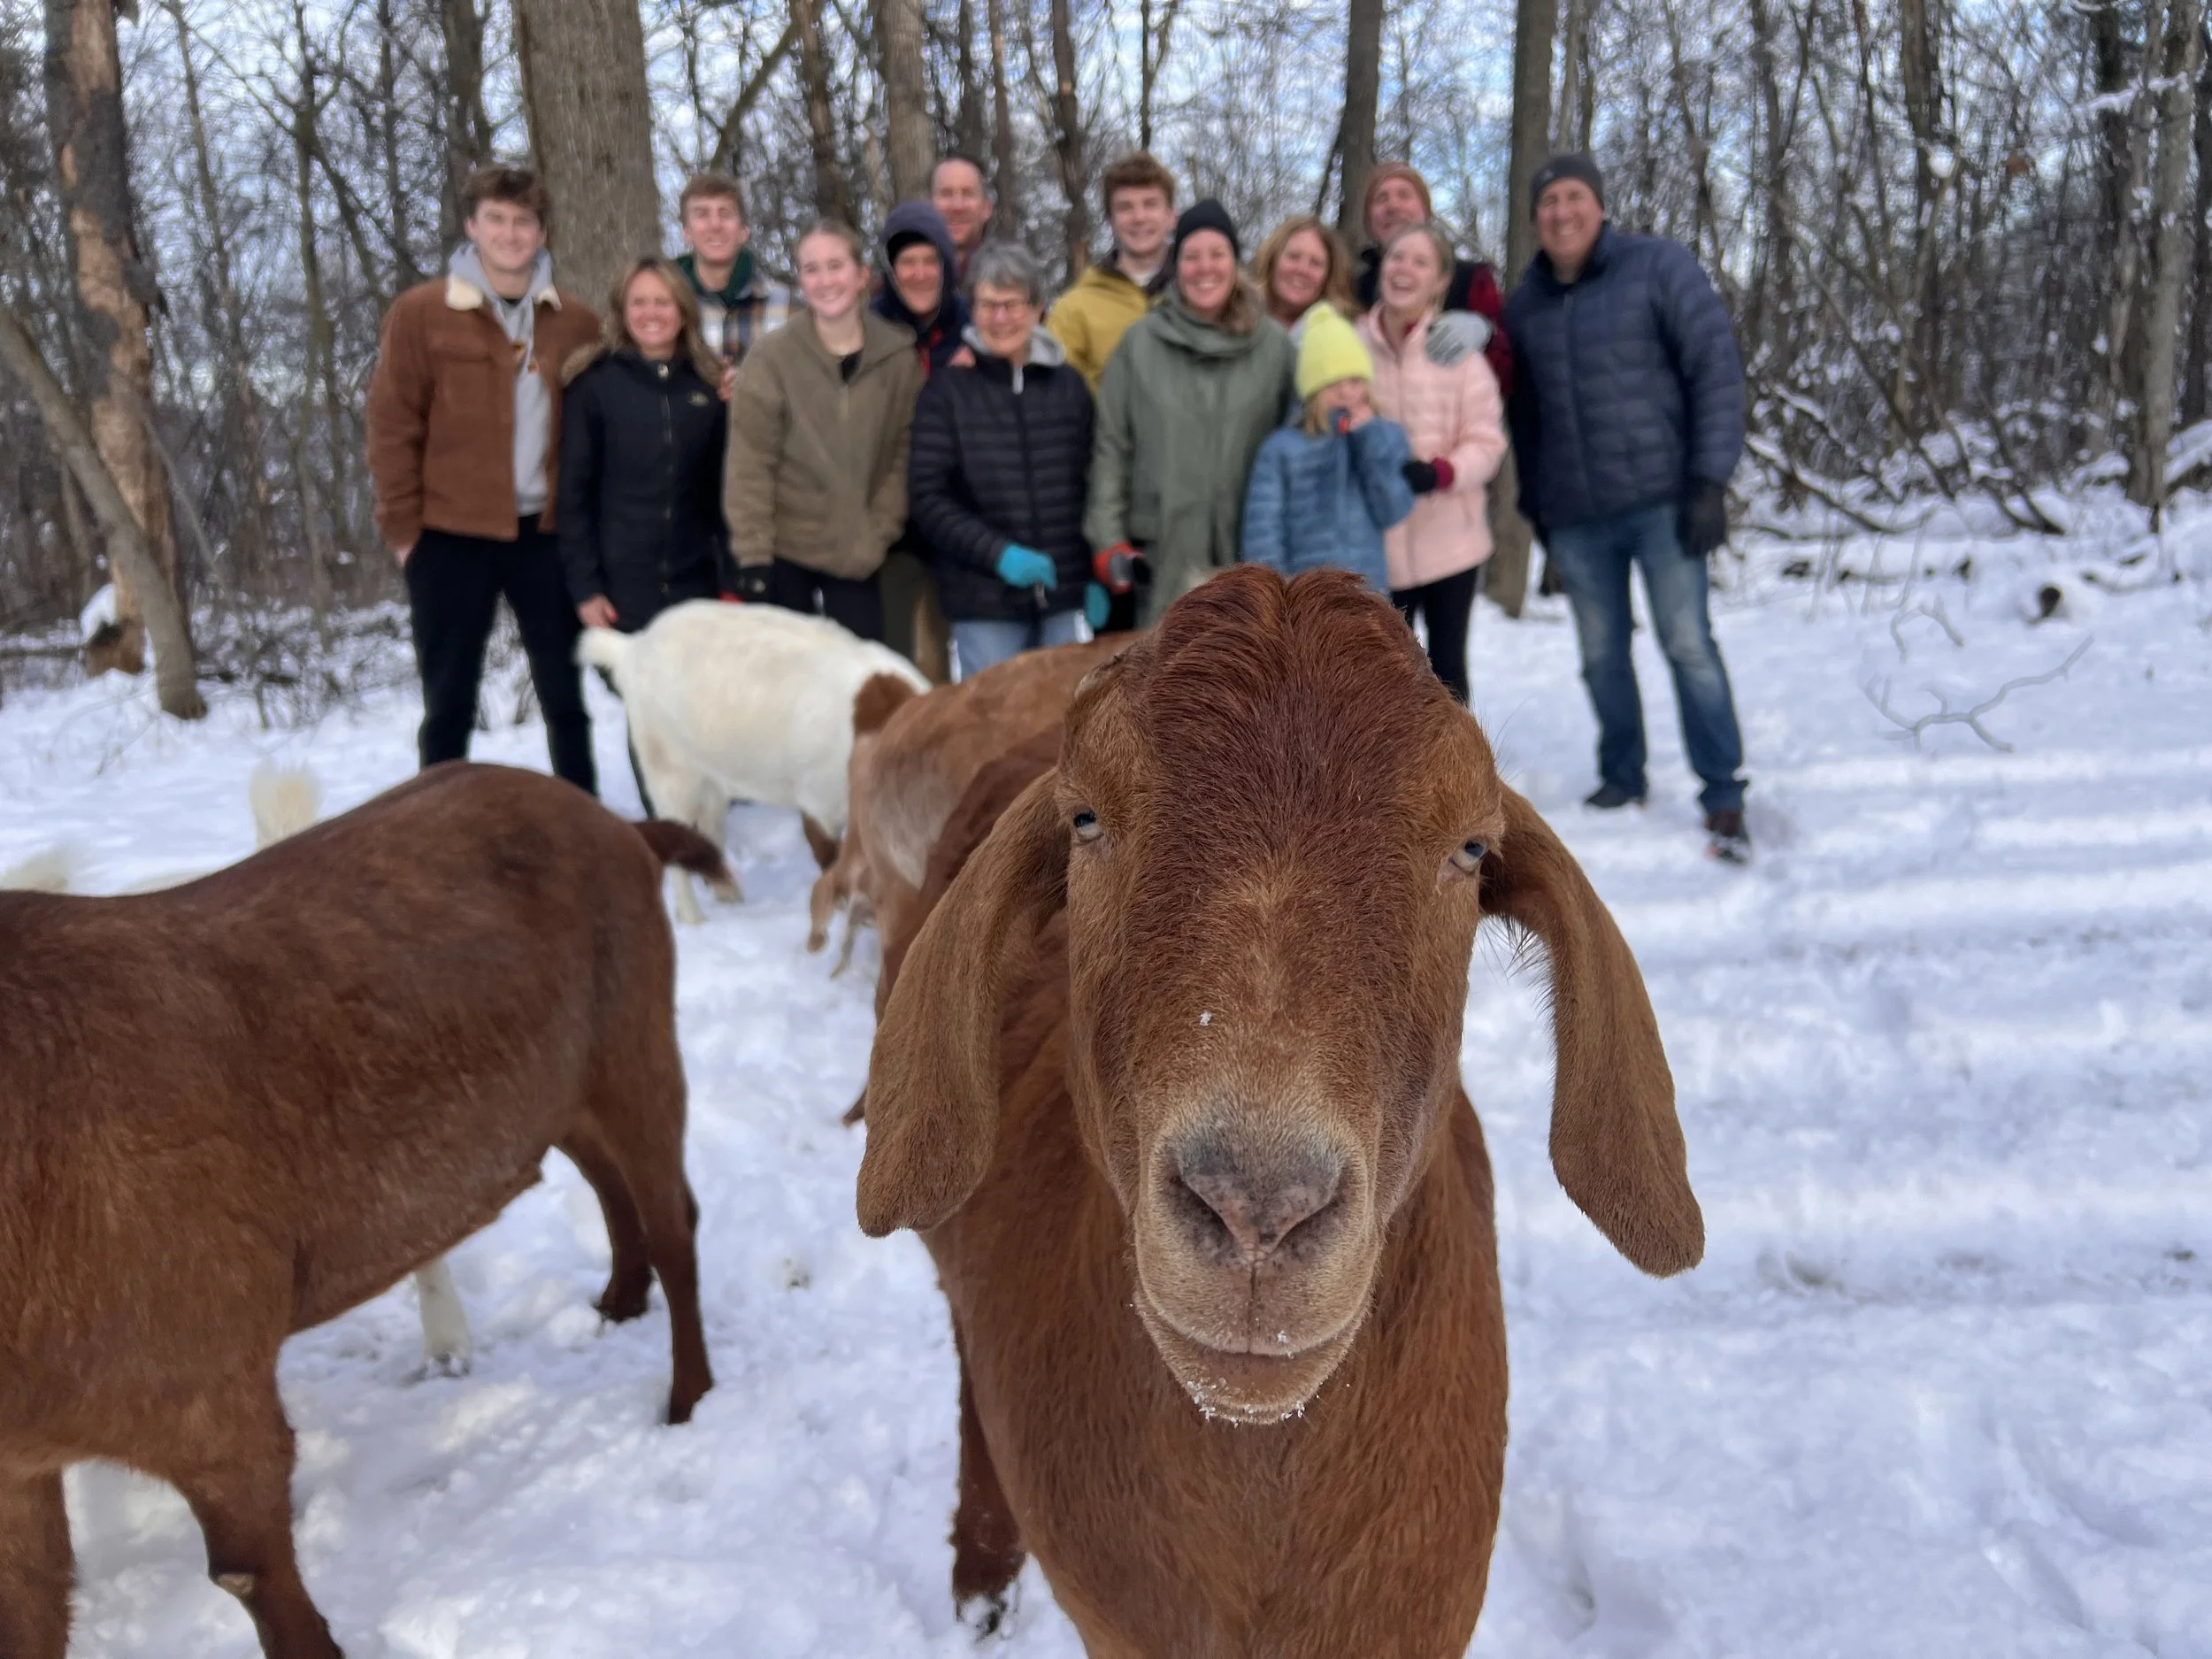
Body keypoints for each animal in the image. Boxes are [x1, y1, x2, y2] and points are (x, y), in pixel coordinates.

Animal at [0, 762, 720, 1659]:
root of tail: (623, 825)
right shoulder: (19, 1465)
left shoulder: (213, 1391)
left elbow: (255, 1577)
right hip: (565, 1083)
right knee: (608, 1183)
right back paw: (618, 1303)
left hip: (635, 1036)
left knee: (674, 1220)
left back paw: (688, 1400)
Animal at [578, 600, 929, 924]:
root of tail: (634, 645)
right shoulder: (820, 802)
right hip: (669, 767)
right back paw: (693, 917)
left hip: (712, 772)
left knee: (710, 826)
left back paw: (727, 893)